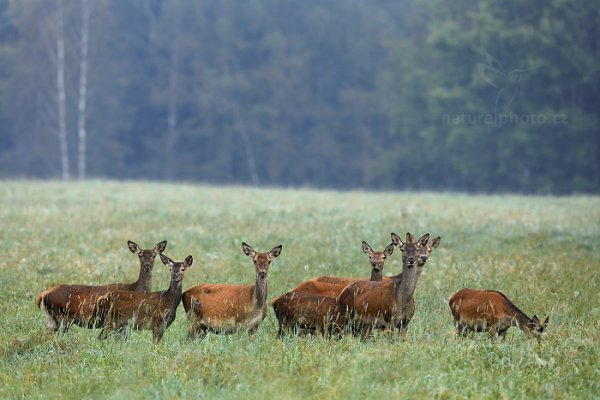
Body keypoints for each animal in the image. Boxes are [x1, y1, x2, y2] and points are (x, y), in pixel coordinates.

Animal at [35, 241, 166, 332]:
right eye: (140, 255)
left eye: (154, 255)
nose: (147, 266)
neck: (135, 289)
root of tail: (42, 295)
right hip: (61, 317)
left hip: (52, 318)